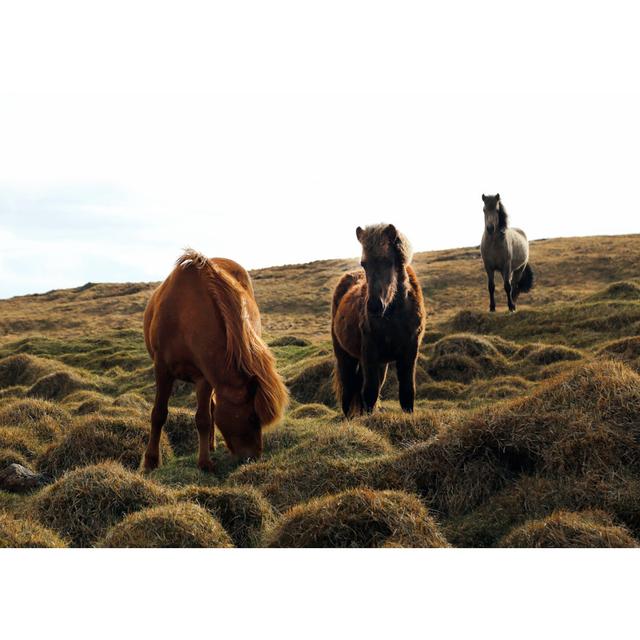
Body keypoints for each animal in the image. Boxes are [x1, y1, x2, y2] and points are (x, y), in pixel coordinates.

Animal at [144, 249, 288, 470]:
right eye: (252, 416)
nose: (253, 457)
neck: (184, 316)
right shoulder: (162, 369)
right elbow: (158, 414)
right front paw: (151, 461)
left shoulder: (204, 377)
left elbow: (203, 419)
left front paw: (204, 462)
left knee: (210, 410)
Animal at [330, 222, 424, 418]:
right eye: (364, 264)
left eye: (388, 261)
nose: (374, 306)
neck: (394, 316)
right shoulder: (369, 353)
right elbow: (370, 392)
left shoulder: (410, 352)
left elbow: (407, 392)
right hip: (345, 356)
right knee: (348, 390)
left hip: (381, 363)